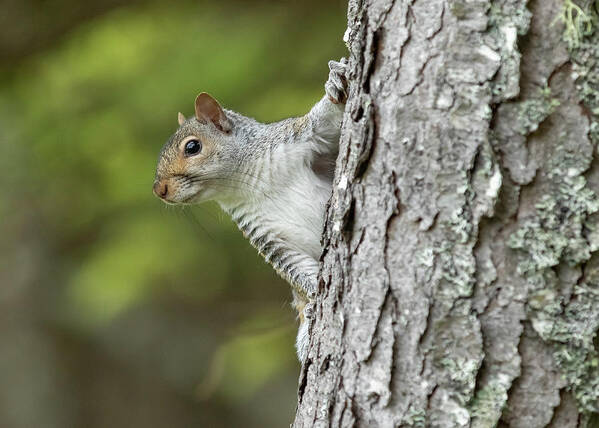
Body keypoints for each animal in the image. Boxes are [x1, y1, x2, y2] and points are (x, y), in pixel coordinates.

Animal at [155, 58, 350, 360]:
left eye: (192, 147)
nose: (158, 189)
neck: (251, 181)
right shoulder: (265, 234)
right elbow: (295, 269)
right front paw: (315, 297)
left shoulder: (304, 138)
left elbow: (324, 122)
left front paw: (335, 82)